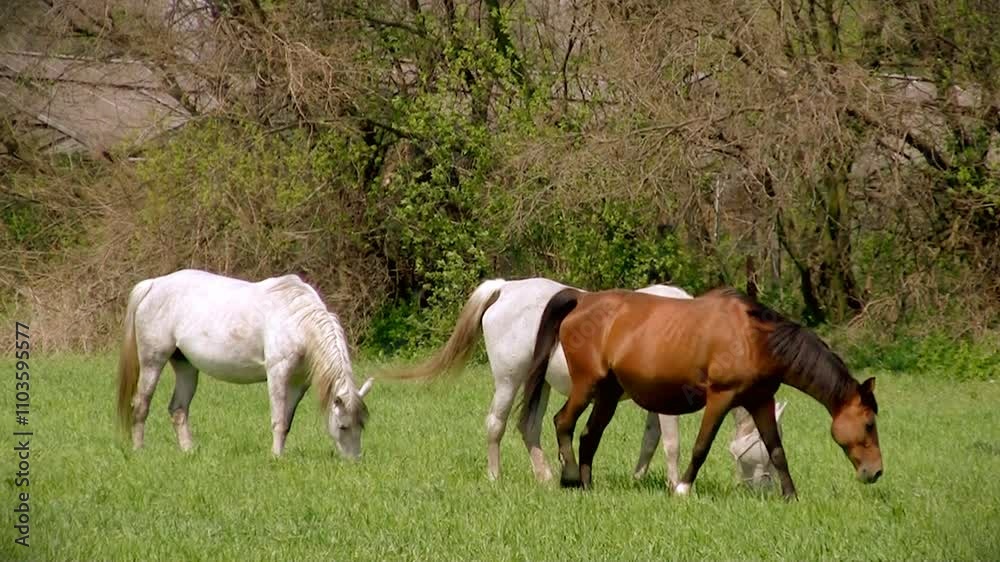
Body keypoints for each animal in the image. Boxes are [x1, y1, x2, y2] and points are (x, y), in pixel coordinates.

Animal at [115, 269, 373, 460]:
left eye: (362, 425)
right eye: (343, 426)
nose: (354, 461)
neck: (297, 321)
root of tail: (153, 284)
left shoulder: (298, 383)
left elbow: (287, 422)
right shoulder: (278, 373)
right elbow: (278, 419)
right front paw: (276, 458)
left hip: (185, 365)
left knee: (178, 409)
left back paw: (189, 452)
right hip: (152, 361)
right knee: (141, 405)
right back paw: (139, 451)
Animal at [381, 277, 783, 487]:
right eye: (758, 449)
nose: (764, 488)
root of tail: (506, 288)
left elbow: (651, 440)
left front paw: (639, 478)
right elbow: (671, 443)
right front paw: (675, 484)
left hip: (539, 384)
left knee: (529, 426)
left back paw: (546, 476)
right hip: (510, 380)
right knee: (496, 424)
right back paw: (496, 477)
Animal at [520, 287, 882, 499]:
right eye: (869, 424)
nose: (875, 471)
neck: (754, 338)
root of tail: (582, 300)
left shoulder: (760, 401)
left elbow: (777, 450)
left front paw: (790, 495)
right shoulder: (720, 398)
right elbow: (701, 446)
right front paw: (682, 488)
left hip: (608, 393)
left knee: (589, 435)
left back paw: (586, 485)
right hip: (587, 386)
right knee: (563, 422)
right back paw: (568, 478)